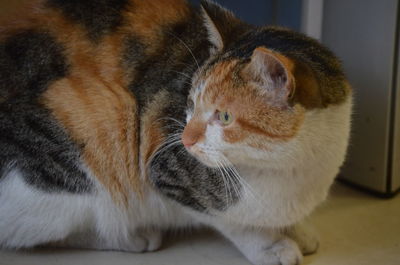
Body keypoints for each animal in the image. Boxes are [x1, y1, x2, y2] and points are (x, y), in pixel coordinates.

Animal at [0, 0, 352, 264]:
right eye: (191, 102)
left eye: (225, 116)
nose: (184, 139)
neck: (292, 169)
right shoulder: (167, 173)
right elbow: (229, 218)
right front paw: (270, 245)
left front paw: (297, 229)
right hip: (97, 118)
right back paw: (130, 236)